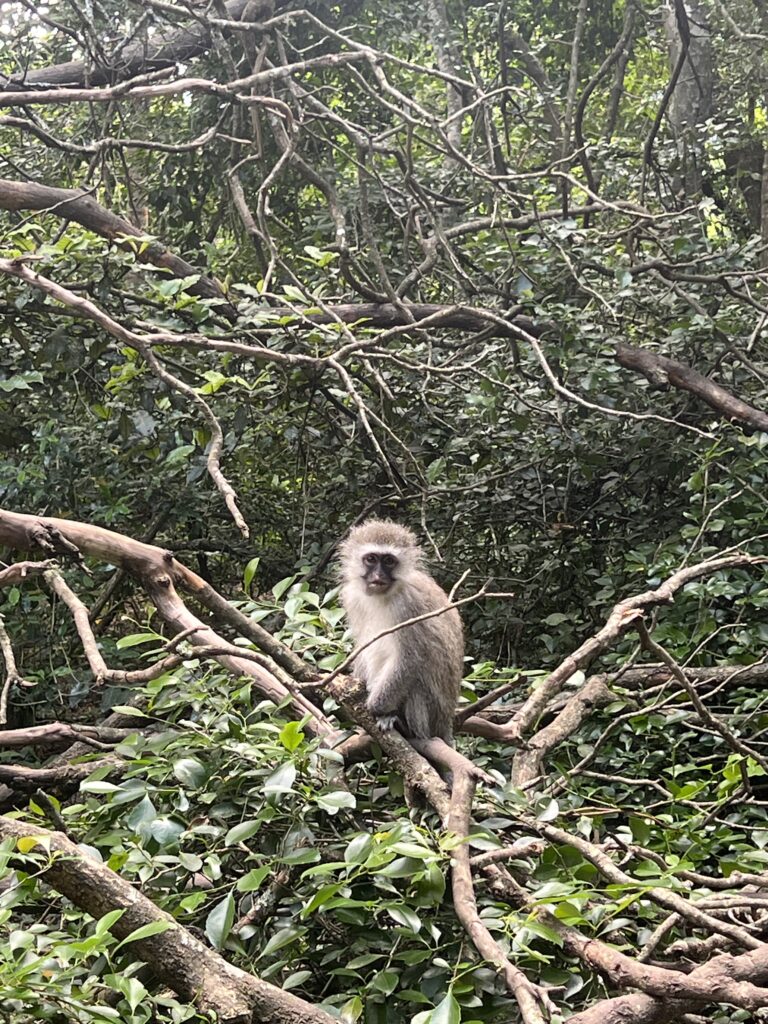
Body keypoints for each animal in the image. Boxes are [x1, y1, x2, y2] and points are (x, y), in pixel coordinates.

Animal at [342, 520, 462, 745]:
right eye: (371, 559)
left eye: (389, 561)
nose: (378, 576)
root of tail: (446, 724)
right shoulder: (352, 598)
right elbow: (363, 645)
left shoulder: (409, 606)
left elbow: (411, 658)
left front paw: (375, 707)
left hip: (432, 714)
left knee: (415, 682)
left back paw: (404, 726)